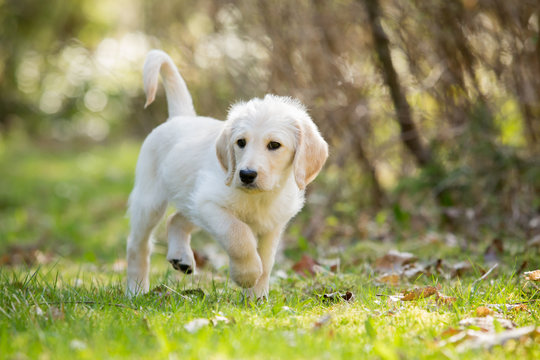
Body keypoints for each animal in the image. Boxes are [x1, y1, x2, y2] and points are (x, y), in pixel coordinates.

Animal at [127, 50, 330, 298]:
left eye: (274, 145)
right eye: (240, 142)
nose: (246, 174)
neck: (259, 198)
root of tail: (180, 117)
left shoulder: (272, 225)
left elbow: (267, 261)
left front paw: (256, 297)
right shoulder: (210, 204)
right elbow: (238, 235)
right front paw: (247, 275)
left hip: (191, 201)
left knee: (176, 219)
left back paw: (181, 257)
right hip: (150, 201)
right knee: (137, 245)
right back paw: (135, 290)